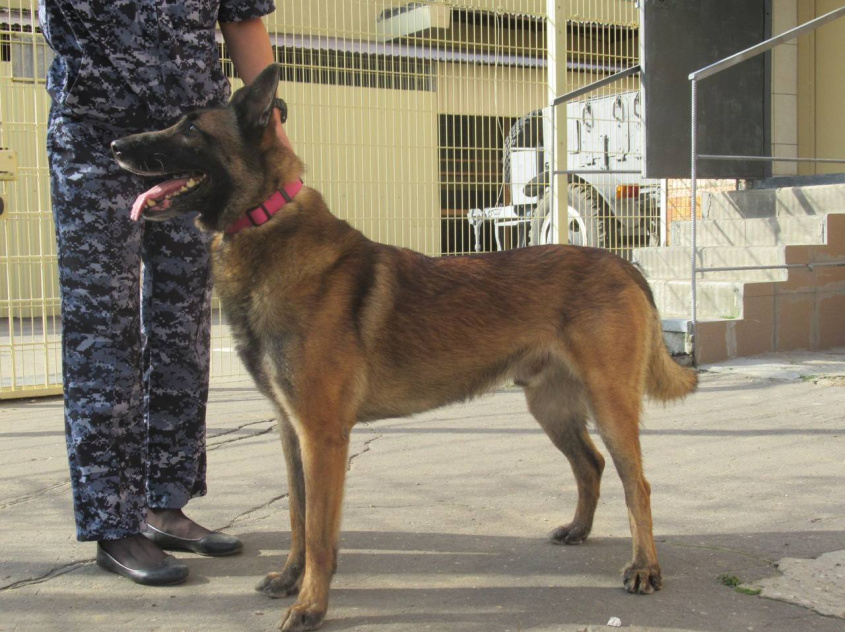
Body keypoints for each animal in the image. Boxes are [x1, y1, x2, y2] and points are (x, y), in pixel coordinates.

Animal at [112, 61, 700, 628]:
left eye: (191, 128)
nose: (116, 145)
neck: (267, 222)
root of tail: (623, 263)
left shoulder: (322, 436)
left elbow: (319, 533)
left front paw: (311, 606)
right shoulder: (290, 430)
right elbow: (297, 519)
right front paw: (289, 579)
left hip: (609, 402)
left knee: (637, 484)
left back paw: (644, 567)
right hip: (550, 407)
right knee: (591, 465)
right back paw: (578, 529)